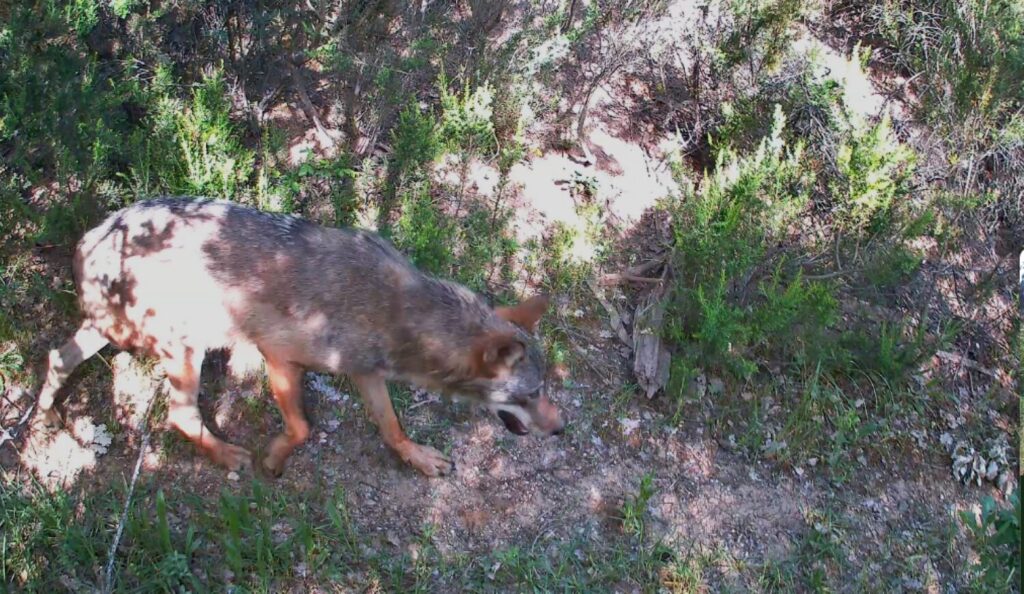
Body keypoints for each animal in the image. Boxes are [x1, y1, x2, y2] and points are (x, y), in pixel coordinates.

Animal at [35, 197, 564, 477]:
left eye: (544, 390)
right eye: (531, 393)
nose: (560, 429)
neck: (398, 313)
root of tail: (90, 238)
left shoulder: (366, 373)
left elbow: (391, 426)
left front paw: (416, 457)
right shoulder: (278, 357)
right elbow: (303, 428)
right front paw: (272, 458)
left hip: (113, 333)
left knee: (56, 356)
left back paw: (45, 415)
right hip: (185, 352)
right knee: (180, 417)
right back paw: (230, 456)